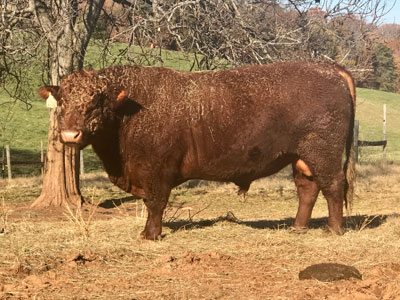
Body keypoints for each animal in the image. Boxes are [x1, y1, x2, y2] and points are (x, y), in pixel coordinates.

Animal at [39, 62, 354, 239]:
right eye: (62, 101)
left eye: (96, 102)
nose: (69, 134)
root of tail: (329, 68)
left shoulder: (157, 171)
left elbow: (155, 204)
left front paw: (150, 235)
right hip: (301, 158)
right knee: (307, 188)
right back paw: (297, 227)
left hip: (322, 153)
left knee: (333, 186)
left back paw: (333, 229)